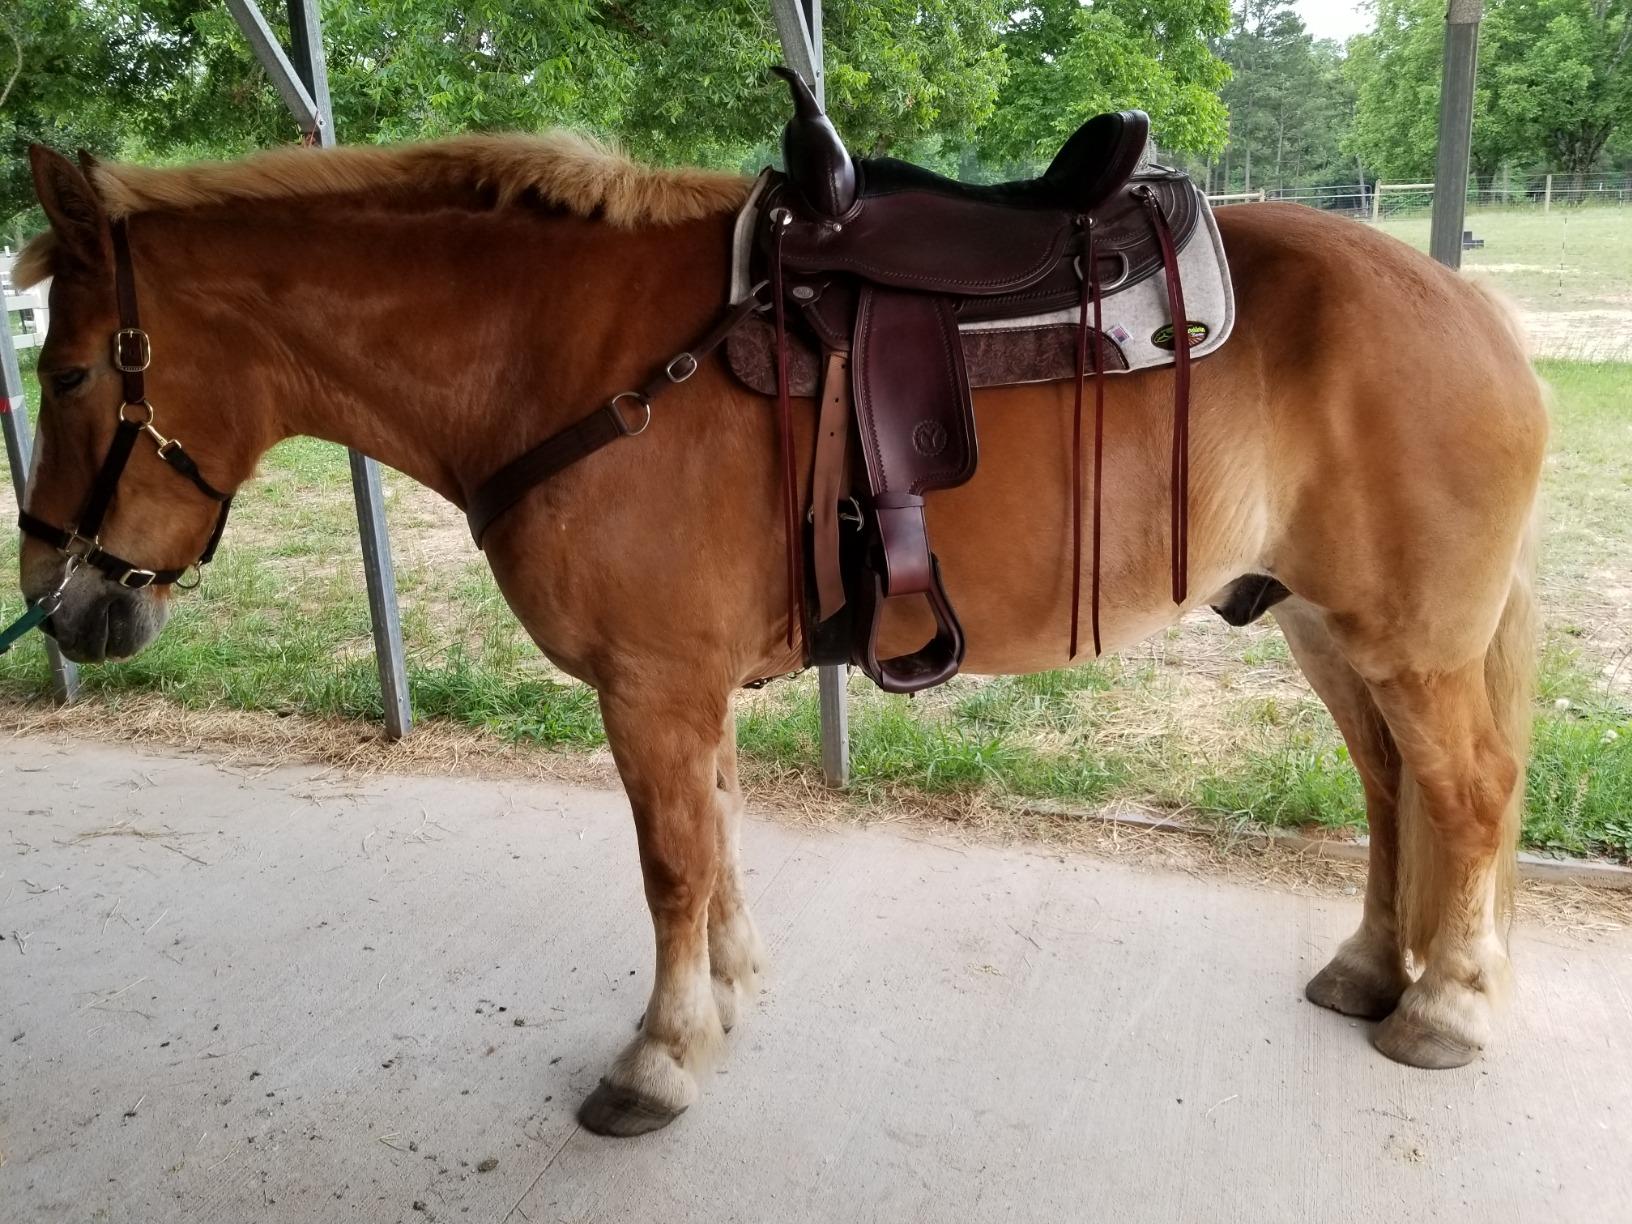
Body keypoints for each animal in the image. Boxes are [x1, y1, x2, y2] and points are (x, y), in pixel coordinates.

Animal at [13, 135, 1546, 1136]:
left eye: (73, 367)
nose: (66, 599)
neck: (551, 353)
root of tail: (1472, 304)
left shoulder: (648, 686)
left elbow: (671, 867)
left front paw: (660, 1055)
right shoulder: (686, 685)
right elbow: (721, 837)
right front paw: (732, 993)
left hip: (1408, 641)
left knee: (1468, 794)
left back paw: (1452, 1011)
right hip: (1329, 632)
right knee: (1395, 793)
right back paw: (1374, 971)